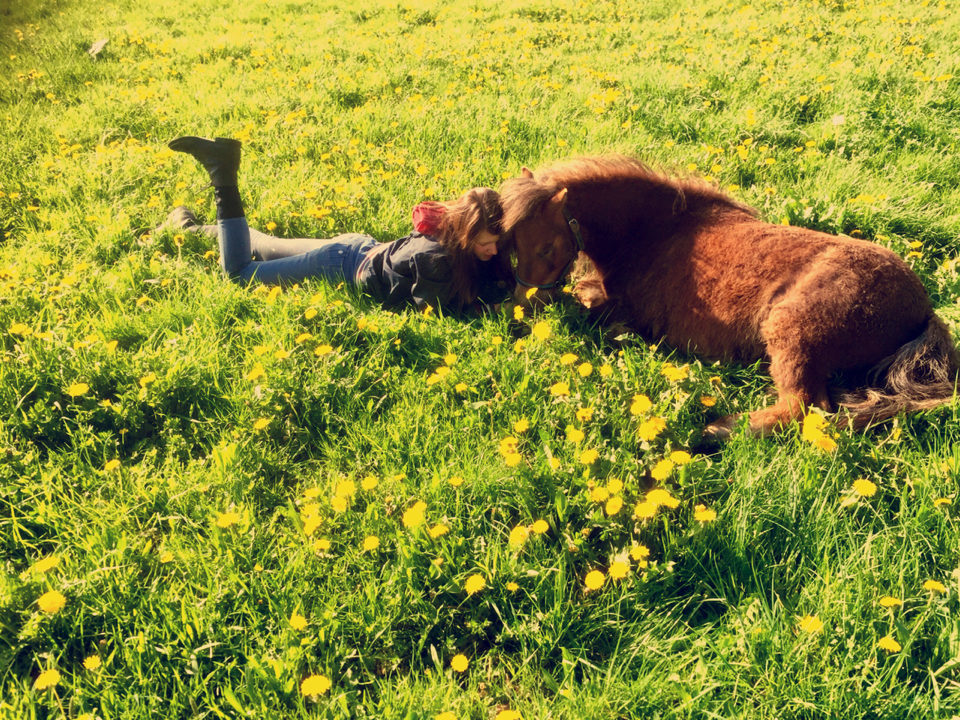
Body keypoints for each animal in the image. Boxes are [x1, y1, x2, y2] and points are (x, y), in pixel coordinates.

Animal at [502, 158, 960, 436]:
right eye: (512, 243)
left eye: (546, 248)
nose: (524, 309)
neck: (654, 230)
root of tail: (923, 310)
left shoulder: (621, 313)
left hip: (792, 332)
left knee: (802, 408)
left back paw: (715, 432)